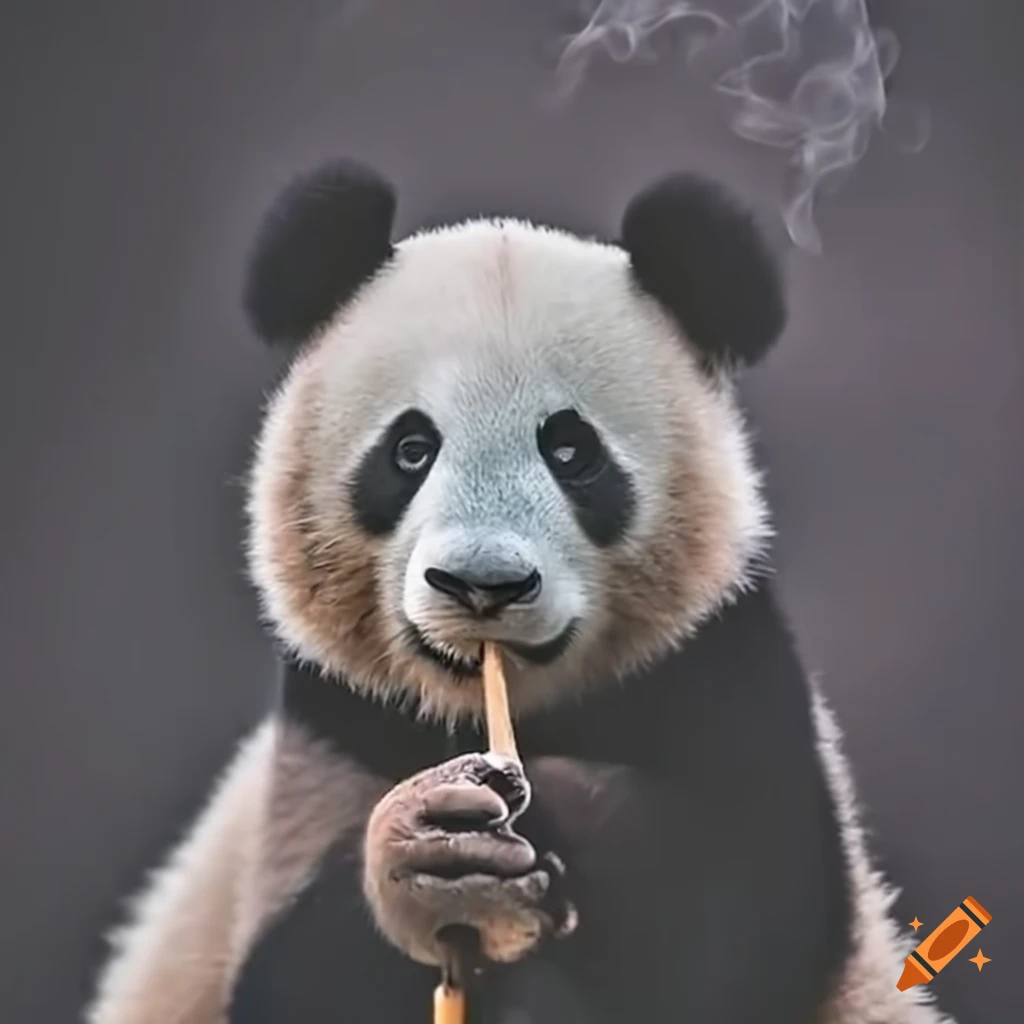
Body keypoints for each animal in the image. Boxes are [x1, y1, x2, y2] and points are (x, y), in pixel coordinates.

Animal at [85, 159, 957, 1024]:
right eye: (410, 449)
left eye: (571, 451)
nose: (482, 585)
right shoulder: (325, 741)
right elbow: (300, 980)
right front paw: (432, 855)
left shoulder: (725, 682)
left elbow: (724, 930)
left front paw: (571, 817)